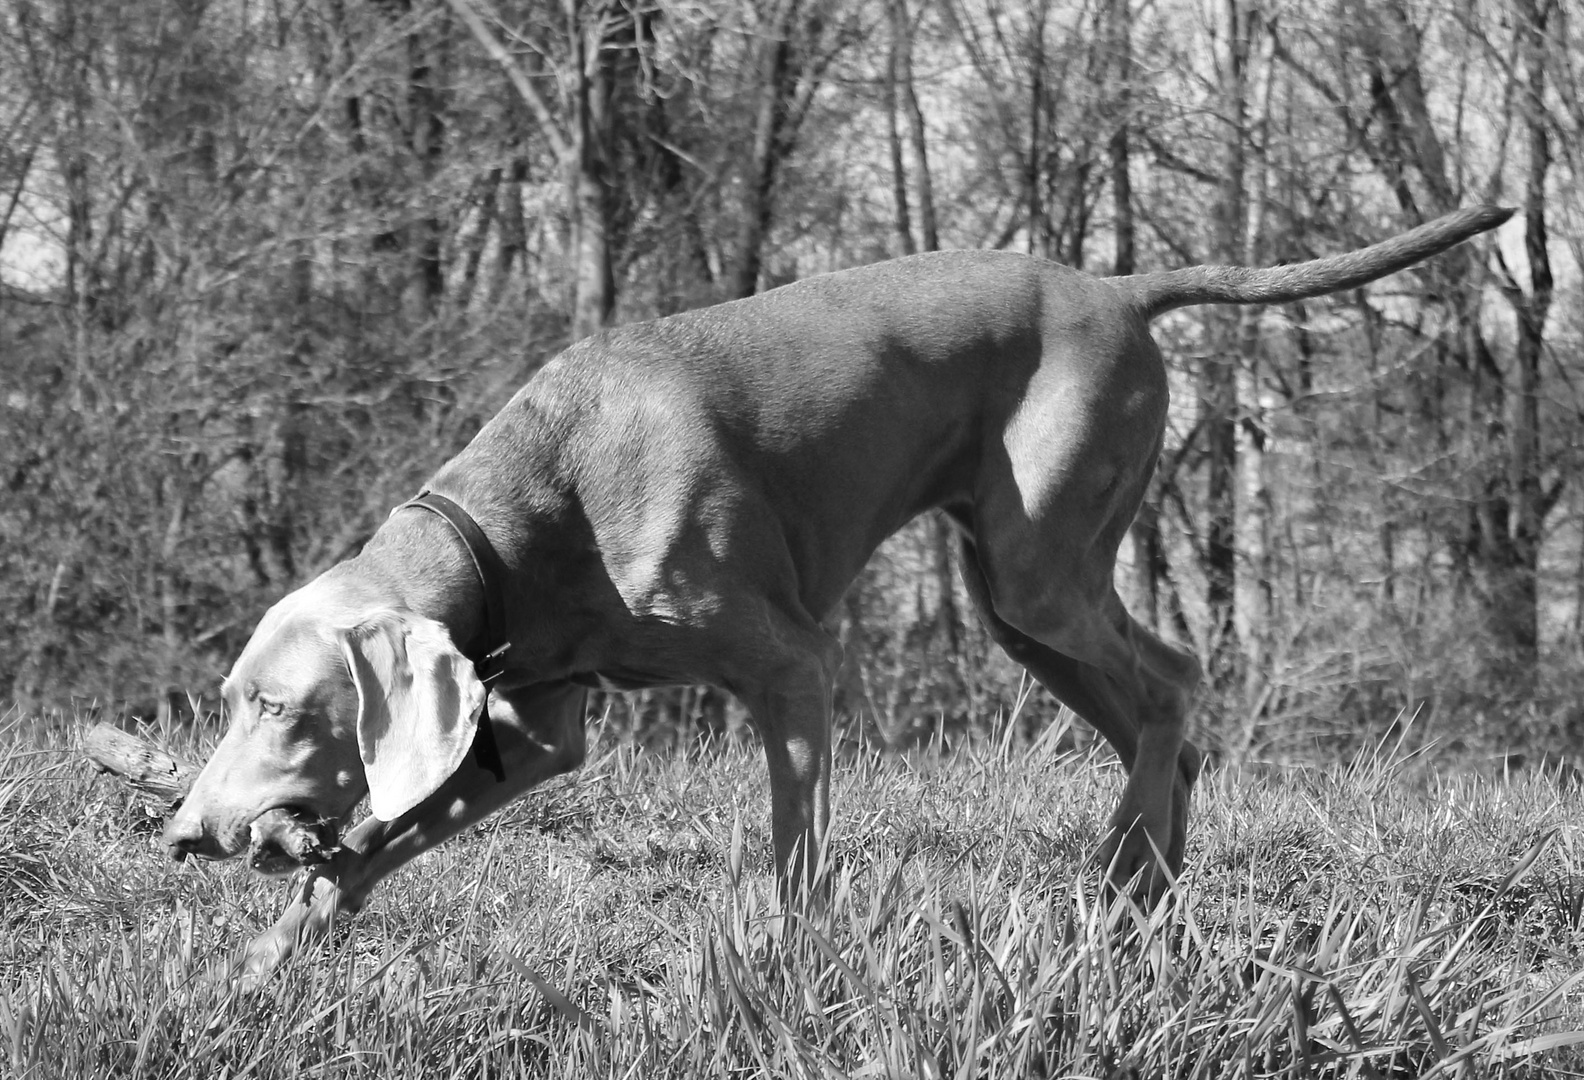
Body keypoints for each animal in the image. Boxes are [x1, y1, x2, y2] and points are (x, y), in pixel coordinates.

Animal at [160, 201, 1507, 969]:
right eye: (229, 699)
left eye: (277, 706)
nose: (181, 833)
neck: (536, 506)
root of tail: (1118, 288)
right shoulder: (540, 732)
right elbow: (371, 849)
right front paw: (262, 967)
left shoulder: (795, 667)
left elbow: (796, 855)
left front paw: (796, 976)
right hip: (1021, 599)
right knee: (1156, 723)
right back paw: (1145, 897)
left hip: (1039, 567)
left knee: (1175, 679)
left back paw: (1126, 868)